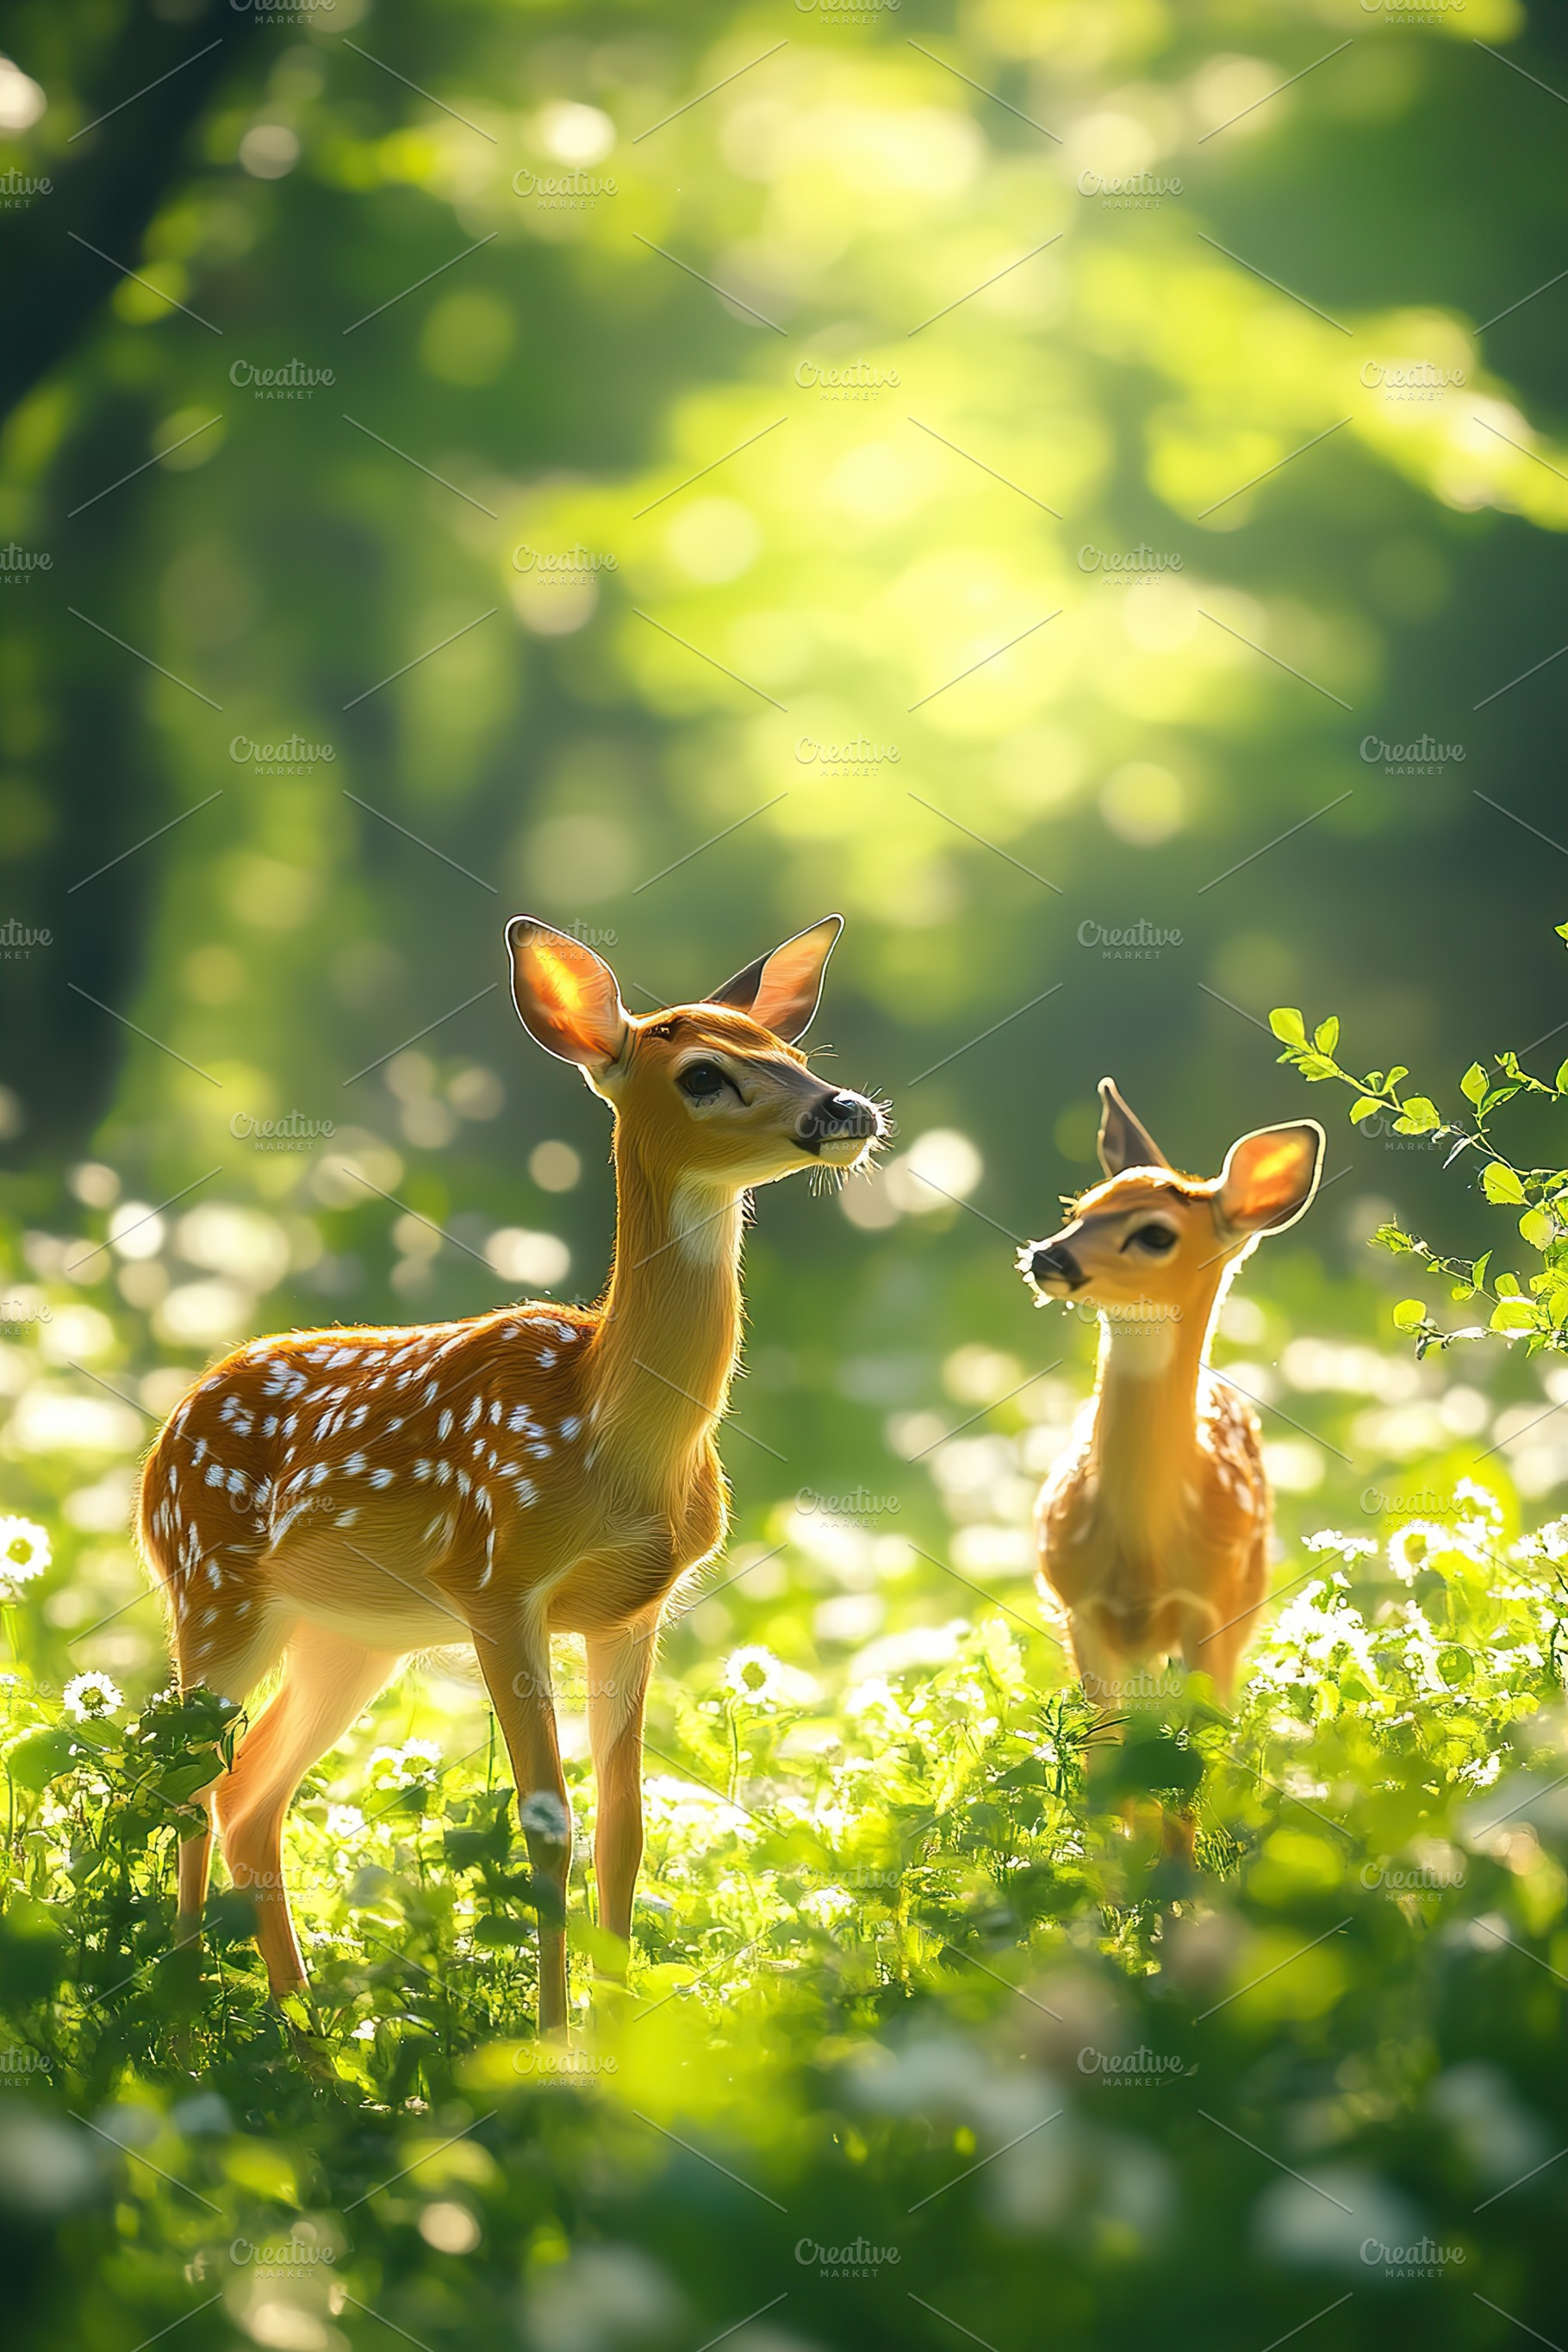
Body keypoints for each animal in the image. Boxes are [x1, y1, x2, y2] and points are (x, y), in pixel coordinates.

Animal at [136, 914, 885, 2033]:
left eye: (790, 1054)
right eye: (704, 1074)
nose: (845, 1108)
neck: (612, 1436)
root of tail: (160, 1444)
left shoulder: (632, 1610)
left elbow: (623, 1824)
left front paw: (619, 2042)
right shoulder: (494, 1581)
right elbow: (546, 1821)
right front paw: (551, 2046)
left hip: (347, 1637)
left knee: (247, 1796)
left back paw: (304, 2042)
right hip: (213, 1592)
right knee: (182, 1780)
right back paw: (183, 2033)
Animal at [1018, 1079, 1323, 1710]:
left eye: (1155, 1234)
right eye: (1079, 1209)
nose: (1047, 1256)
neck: (1145, 1551)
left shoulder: (1215, 1606)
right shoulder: (1077, 1604)